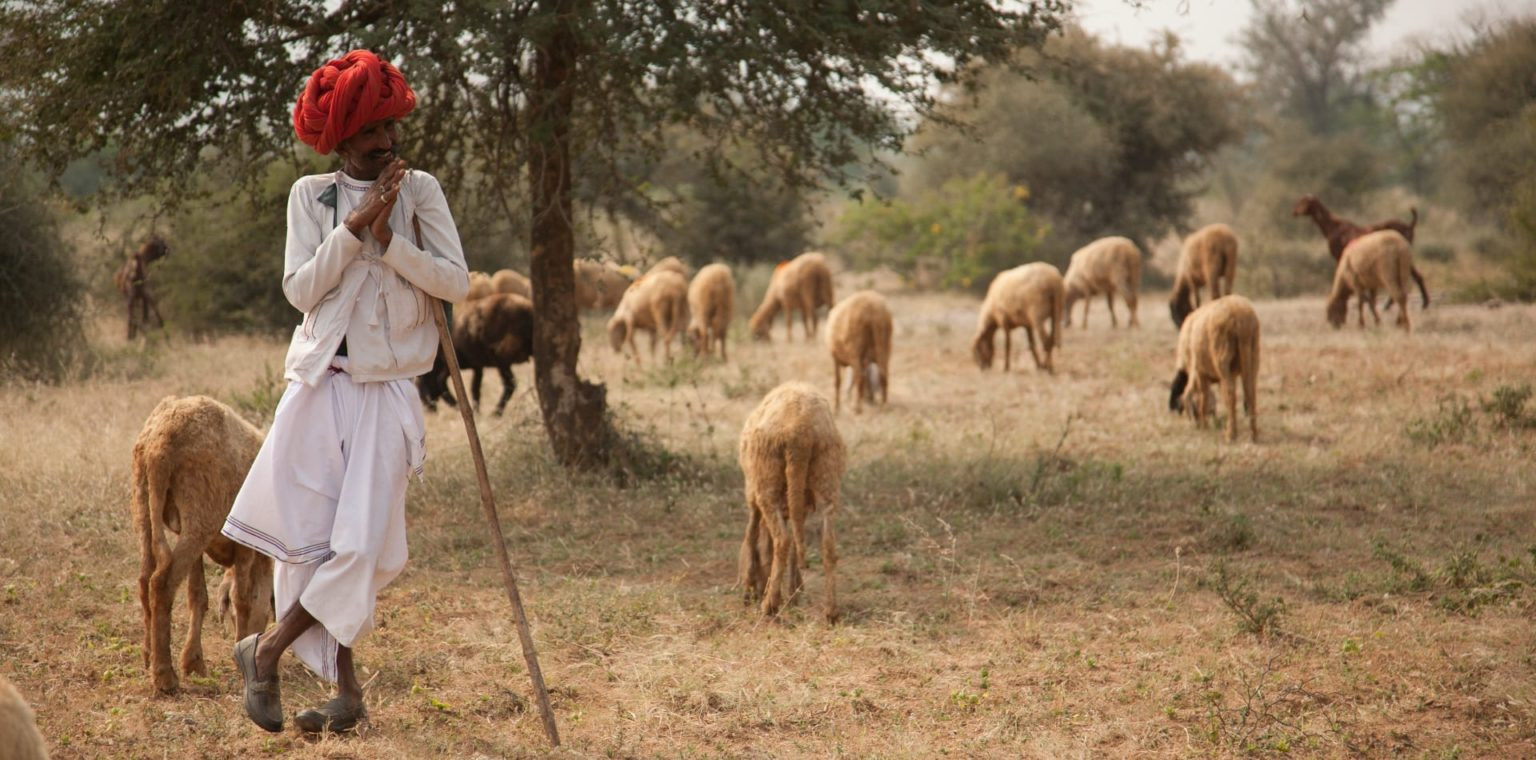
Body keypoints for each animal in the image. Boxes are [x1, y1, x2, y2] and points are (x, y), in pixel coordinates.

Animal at [131, 395, 273, 694]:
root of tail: (160, 444)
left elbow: (198, 596)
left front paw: (194, 662)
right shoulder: (244, 545)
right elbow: (241, 597)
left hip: (145, 502)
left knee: (144, 578)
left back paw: (149, 657)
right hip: (200, 512)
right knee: (161, 583)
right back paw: (165, 676)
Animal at [737, 382, 846, 623]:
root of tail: (800, 430)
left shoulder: (752, 495)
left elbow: (751, 535)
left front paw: (749, 589)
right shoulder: (800, 506)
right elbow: (796, 543)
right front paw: (793, 591)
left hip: (767, 483)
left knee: (783, 540)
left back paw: (769, 606)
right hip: (826, 477)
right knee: (827, 544)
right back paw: (831, 612)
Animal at [1168, 295, 1260, 443]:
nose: (1195, 424)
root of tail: (1241, 319)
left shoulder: (1199, 372)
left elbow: (1203, 397)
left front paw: (1204, 425)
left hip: (1222, 357)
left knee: (1231, 394)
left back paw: (1230, 434)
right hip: (1253, 354)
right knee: (1250, 391)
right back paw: (1253, 434)